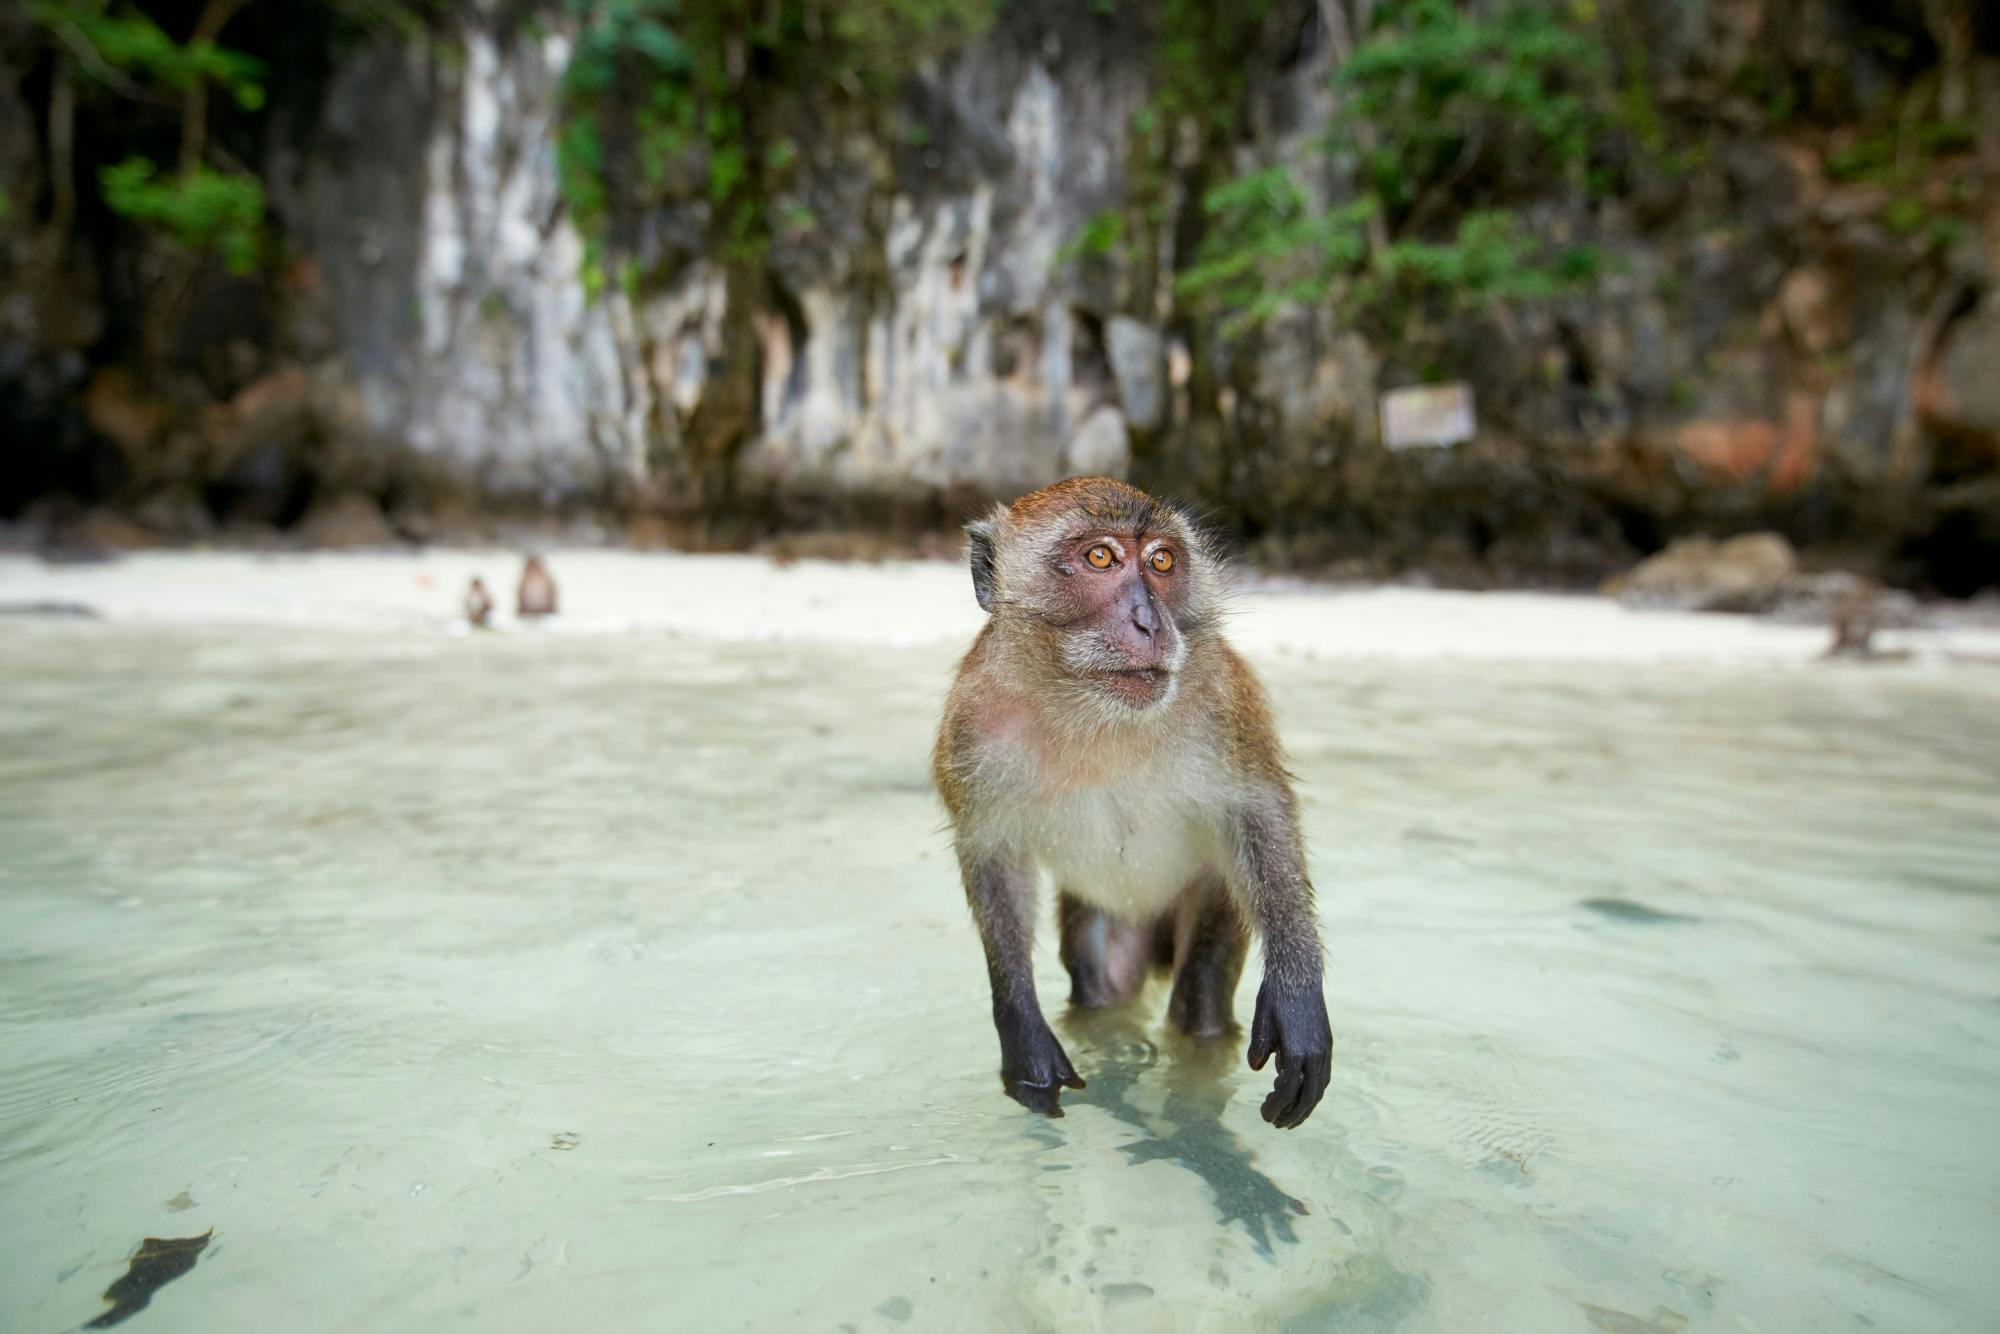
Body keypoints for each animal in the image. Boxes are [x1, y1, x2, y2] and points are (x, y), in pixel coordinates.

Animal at [932, 478, 1328, 1128]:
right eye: (1100, 557)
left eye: (1162, 561)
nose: (1150, 622)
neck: (1091, 709)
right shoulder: (972, 724)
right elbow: (992, 855)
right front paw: (1022, 1032)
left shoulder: (1222, 696)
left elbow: (1259, 810)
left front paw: (1297, 1001)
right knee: (1103, 983)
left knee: (1199, 1000)